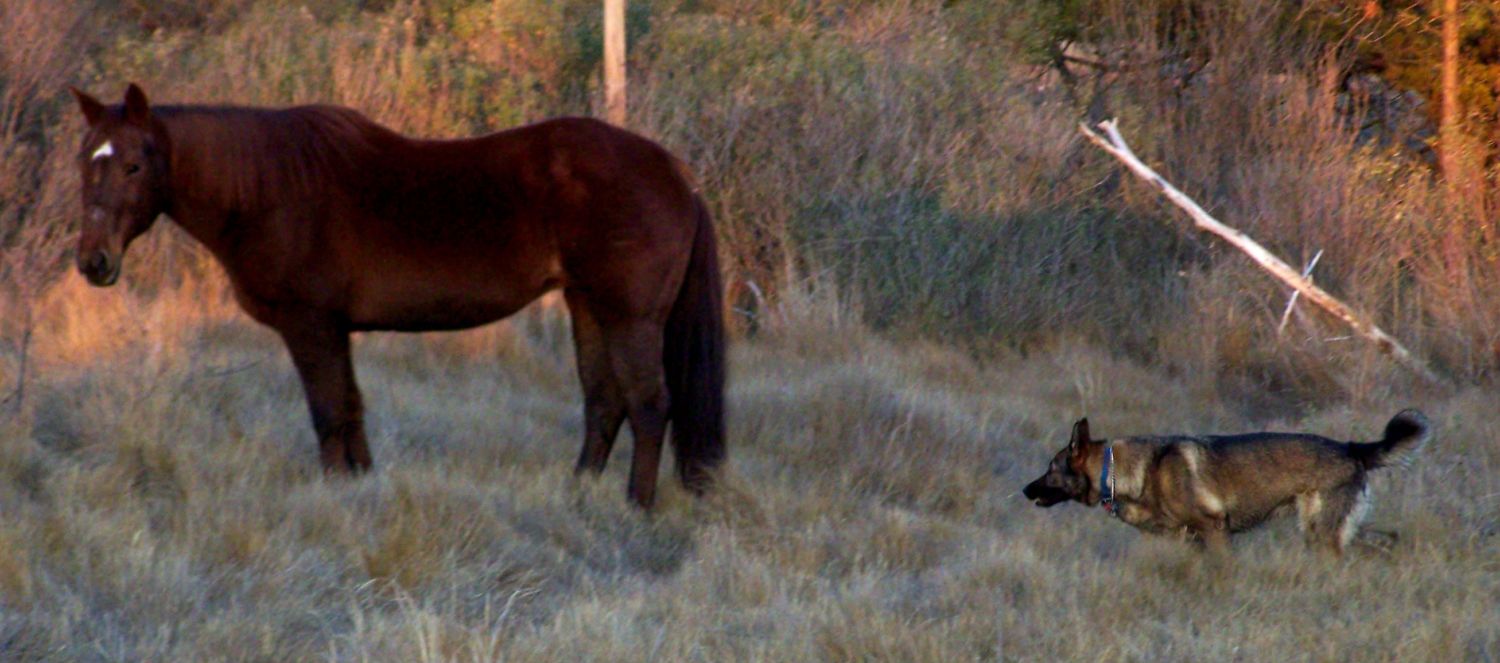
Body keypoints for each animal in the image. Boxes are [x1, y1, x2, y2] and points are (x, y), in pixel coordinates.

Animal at [68, 84, 725, 508]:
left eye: (132, 165)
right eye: (84, 163)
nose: (93, 262)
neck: (270, 191)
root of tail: (675, 171)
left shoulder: (311, 325)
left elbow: (328, 412)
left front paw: (334, 497)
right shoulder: (335, 329)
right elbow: (351, 408)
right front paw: (360, 486)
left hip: (632, 317)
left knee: (648, 405)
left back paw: (636, 508)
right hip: (588, 306)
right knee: (604, 403)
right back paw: (579, 494)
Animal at [1021, 410, 1430, 555]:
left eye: (1050, 468)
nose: (1025, 490)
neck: (1118, 472)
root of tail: (1350, 448)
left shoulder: (1215, 531)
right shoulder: (1192, 541)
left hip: (1321, 532)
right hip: (1338, 529)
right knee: (1386, 539)